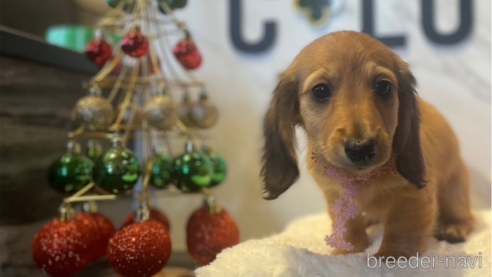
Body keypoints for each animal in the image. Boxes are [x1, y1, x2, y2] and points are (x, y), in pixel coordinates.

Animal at [264, 31, 474, 258]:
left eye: (383, 87)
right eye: (320, 91)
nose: (361, 148)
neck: (360, 178)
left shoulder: (412, 196)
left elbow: (400, 225)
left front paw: (391, 256)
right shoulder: (336, 195)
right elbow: (348, 226)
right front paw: (347, 252)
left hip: (454, 193)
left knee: (465, 216)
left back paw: (454, 227)